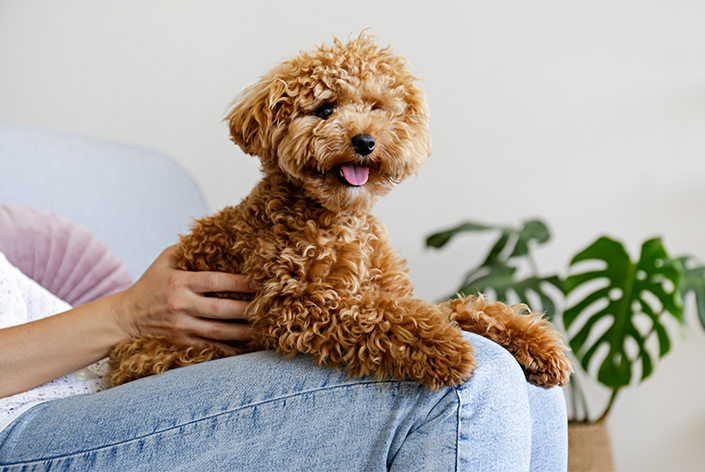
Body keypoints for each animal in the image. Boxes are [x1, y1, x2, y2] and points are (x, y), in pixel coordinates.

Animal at [108, 34, 572, 390]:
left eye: (377, 108)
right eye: (325, 109)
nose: (365, 141)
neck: (338, 220)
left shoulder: (391, 291)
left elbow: (456, 307)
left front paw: (536, 344)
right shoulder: (295, 305)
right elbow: (378, 316)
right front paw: (446, 347)